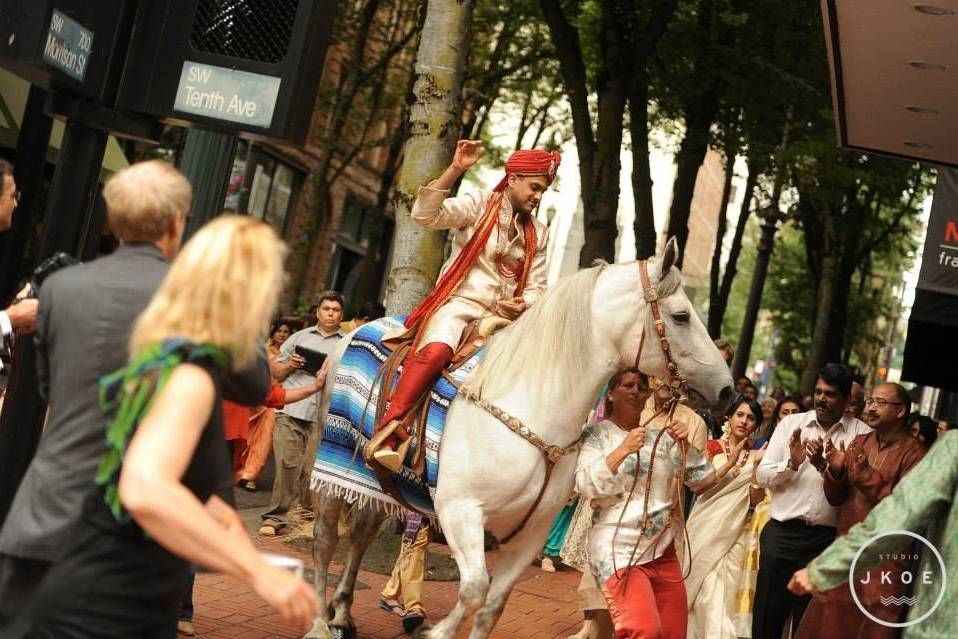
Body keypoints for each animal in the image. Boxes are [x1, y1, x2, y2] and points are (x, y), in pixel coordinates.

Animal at [308, 240, 736, 639]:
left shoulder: (530, 535)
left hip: (379, 481)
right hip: (332, 467)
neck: (532, 411)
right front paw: (437, 631)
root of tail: (357, 331)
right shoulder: (459, 511)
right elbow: (474, 589)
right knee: (325, 539)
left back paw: (342, 613)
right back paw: (319, 622)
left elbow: (491, 605)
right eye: (681, 316)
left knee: (361, 535)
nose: (728, 391)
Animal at [366, 140, 564, 472]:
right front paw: (463, 159)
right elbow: (433, 215)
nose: (537, 199)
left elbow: (535, 286)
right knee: (433, 352)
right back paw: (387, 439)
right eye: (535, 187)